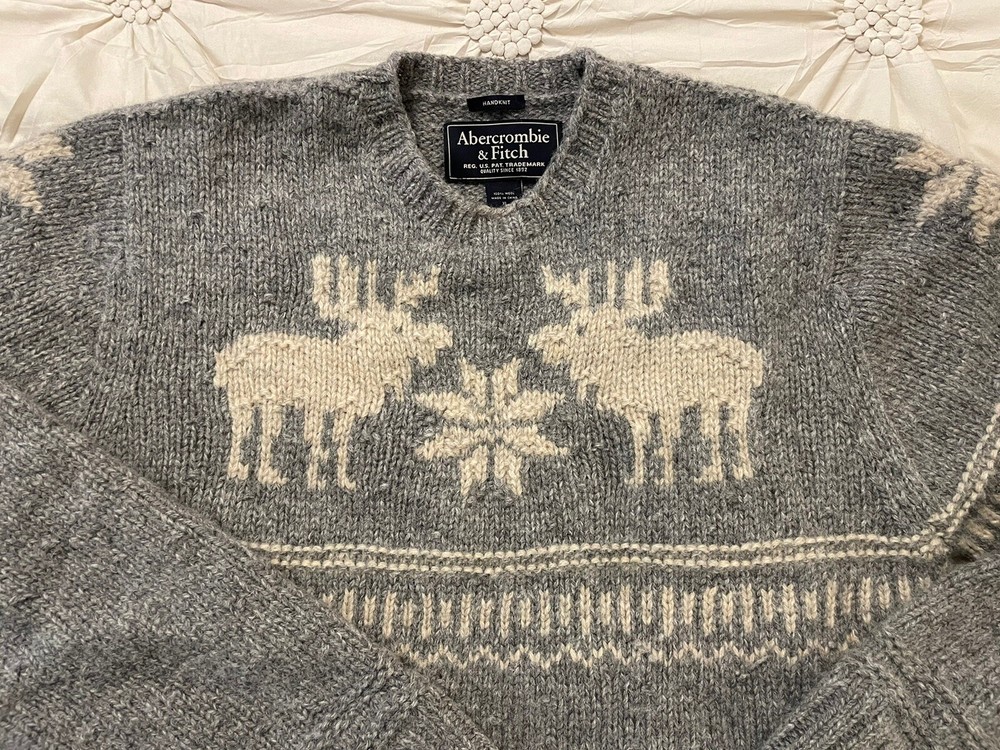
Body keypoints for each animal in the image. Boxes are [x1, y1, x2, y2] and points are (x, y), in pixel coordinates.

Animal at [214, 255, 452, 491]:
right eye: (401, 327)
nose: (441, 336)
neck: (360, 363)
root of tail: (226, 357)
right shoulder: (317, 404)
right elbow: (316, 441)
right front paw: (314, 480)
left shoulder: (345, 408)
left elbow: (341, 442)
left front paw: (342, 479)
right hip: (242, 398)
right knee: (241, 431)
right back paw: (240, 471)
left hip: (269, 401)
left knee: (265, 431)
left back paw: (269, 474)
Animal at [528, 258, 764, 487]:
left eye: (580, 328)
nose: (542, 342)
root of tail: (755, 359)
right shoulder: (636, 410)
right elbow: (640, 441)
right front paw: (639, 477)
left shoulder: (667, 404)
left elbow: (668, 439)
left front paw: (666, 478)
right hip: (712, 400)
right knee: (715, 429)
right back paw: (714, 472)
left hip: (736, 397)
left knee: (736, 428)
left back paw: (738, 470)